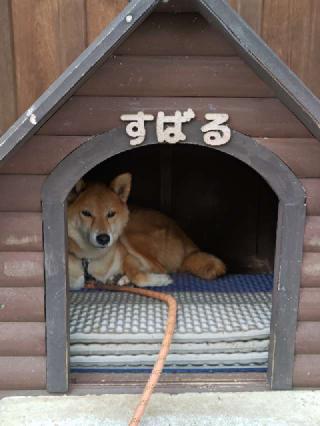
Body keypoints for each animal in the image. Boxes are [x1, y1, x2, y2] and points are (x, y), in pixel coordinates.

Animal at [68, 173, 225, 290]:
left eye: (111, 214)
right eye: (86, 213)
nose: (103, 238)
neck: (93, 258)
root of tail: (188, 243)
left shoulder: (129, 257)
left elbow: (138, 276)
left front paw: (161, 280)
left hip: (130, 234)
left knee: (161, 267)